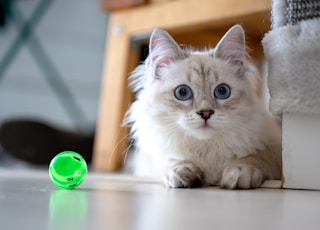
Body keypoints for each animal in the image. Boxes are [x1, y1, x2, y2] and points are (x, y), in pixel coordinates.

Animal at [124, 24, 282, 189]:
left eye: (222, 91)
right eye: (182, 92)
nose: (205, 113)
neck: (205, 148)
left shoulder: (276, 148)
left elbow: (257, 156)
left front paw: (239, 171)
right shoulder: (152, 157)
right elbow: (170, 161)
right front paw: (182, 173)